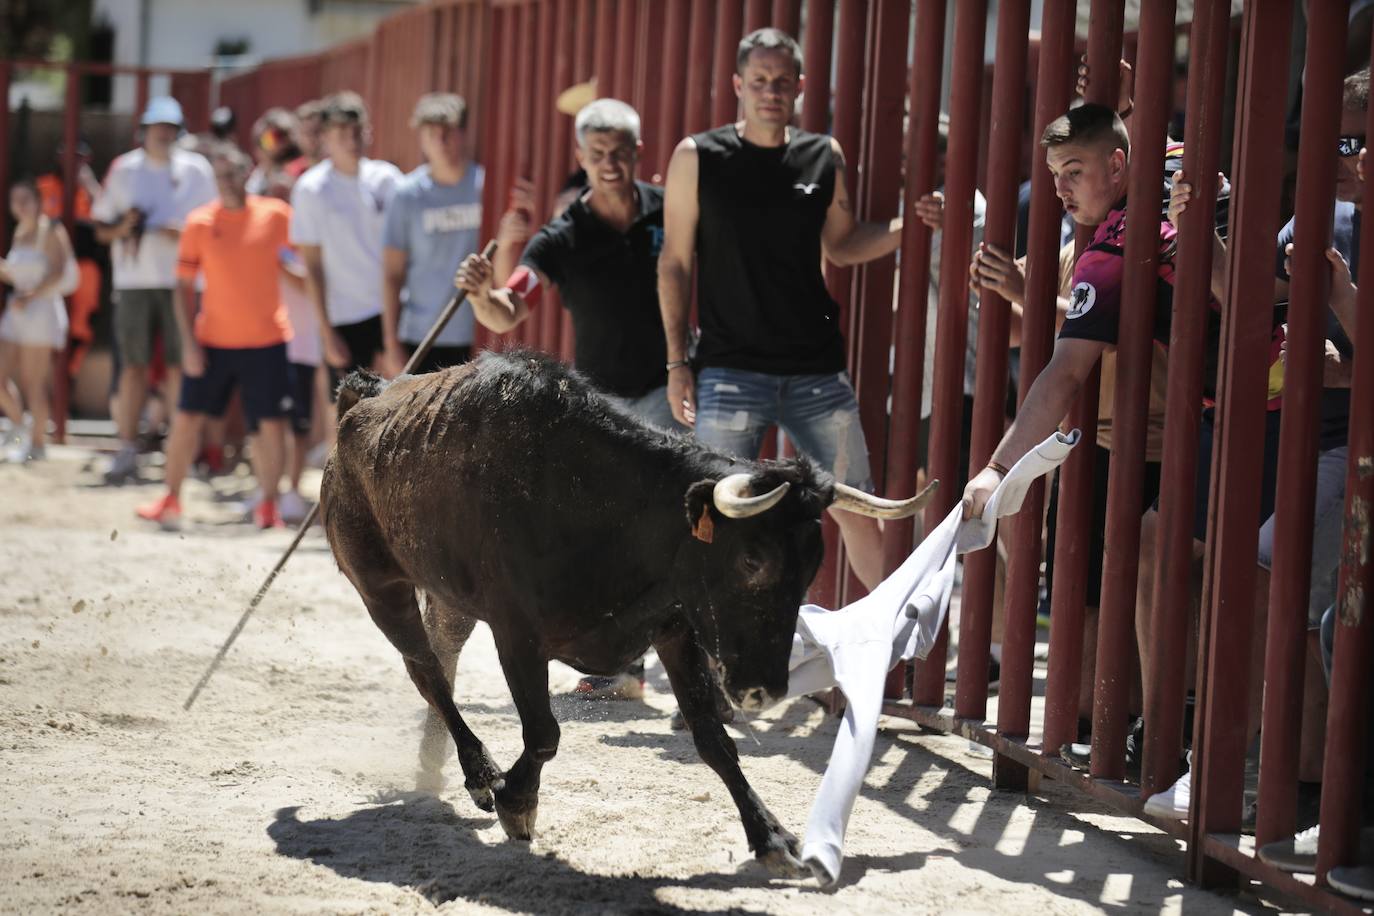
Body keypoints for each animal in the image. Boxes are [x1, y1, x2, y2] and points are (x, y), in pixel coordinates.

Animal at [316, 351, 928, 873]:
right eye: (753, 559)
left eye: (811, 567)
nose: (765, 691)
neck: (601, 505)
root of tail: (362, 405)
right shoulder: (517, 634)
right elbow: (544, 732)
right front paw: (517, 802)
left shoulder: (677, 631)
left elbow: (713, 738)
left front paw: (771, 836)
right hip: (380, 587)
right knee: (426, 673)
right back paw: (480, 771)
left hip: (448, 599)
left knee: (442, 660)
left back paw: (437, 766)